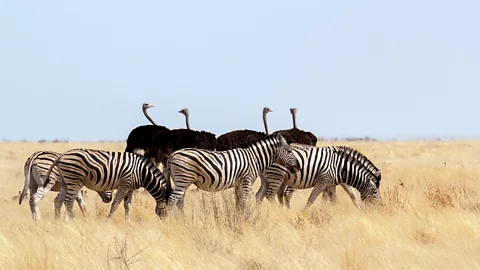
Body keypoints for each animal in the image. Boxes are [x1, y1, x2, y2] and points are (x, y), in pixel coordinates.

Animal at [37, 148, 172, 221]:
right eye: (170, 209)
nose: (168, 223)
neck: (142, 172)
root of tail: (61, 155)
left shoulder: (130, 188)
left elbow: (127, 206)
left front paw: (128, 222)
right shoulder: (124, 184)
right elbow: (115, 204)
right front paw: (108, 221)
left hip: (65, 181)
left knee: (59, 201)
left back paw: (58, 221)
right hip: (73, 180)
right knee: (68, 201)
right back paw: (72, 220)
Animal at [167, 133, 298, 213]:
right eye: (289, 151)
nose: (298, 166)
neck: (254, 158)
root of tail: (173, 154)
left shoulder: (238, 184)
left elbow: (238, 203)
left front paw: (237, 219)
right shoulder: (246, 181)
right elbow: (243, 202)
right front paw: (243, 220)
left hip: (181, 181)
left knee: (179, 202)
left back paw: (183, 221)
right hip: (183, 179)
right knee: (172, 200)